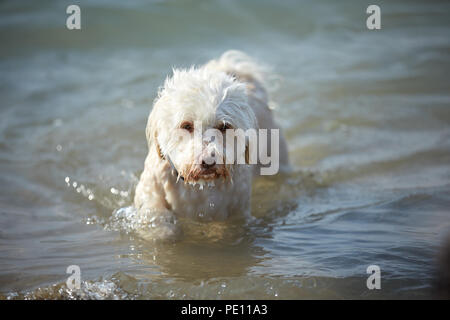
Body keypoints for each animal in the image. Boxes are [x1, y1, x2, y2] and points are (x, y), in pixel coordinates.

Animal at [134, 50, 288, 239]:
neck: (200, 185)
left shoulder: (237, 211)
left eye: (224, 126)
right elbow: (155, 217)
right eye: (186, 125)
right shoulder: (150, 191)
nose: (207, 160)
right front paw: (166, 232)